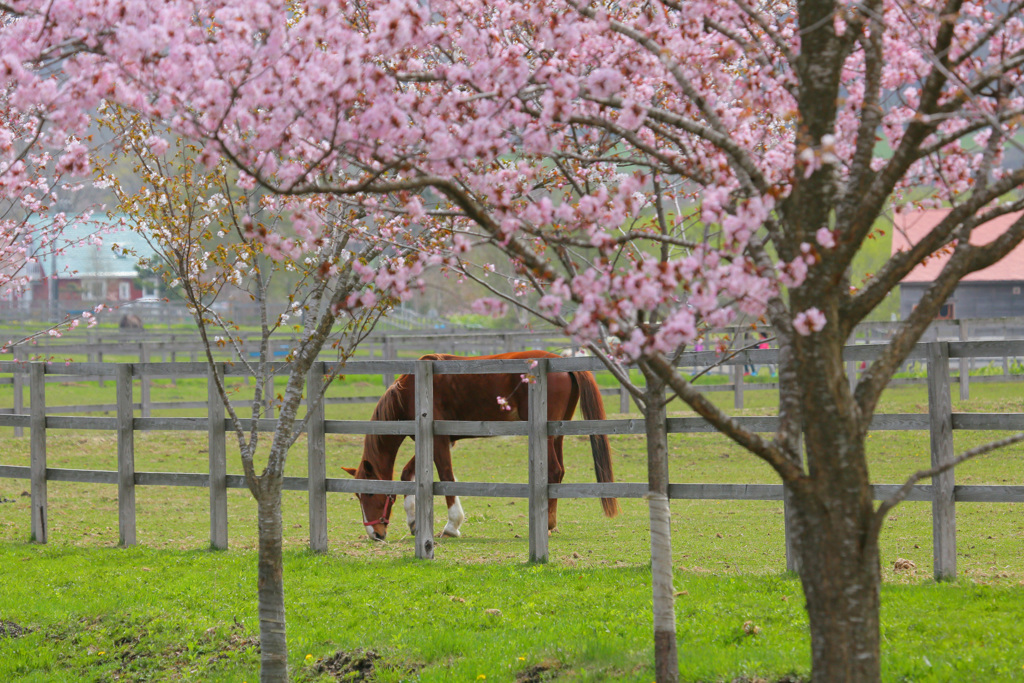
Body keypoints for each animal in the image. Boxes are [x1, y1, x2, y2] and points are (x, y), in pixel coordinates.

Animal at [344, 352, 618, 540]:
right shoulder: (439, 440)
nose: (375, 534)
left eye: (370, 494)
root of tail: (559, 361)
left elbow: (446, 477)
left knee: (554, 471)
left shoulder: (439, 439)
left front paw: (452, 526)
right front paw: (413, 522)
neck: (410, 390)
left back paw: (547, 525)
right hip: (558, 432)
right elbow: (406, 474)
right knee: (558, 474)